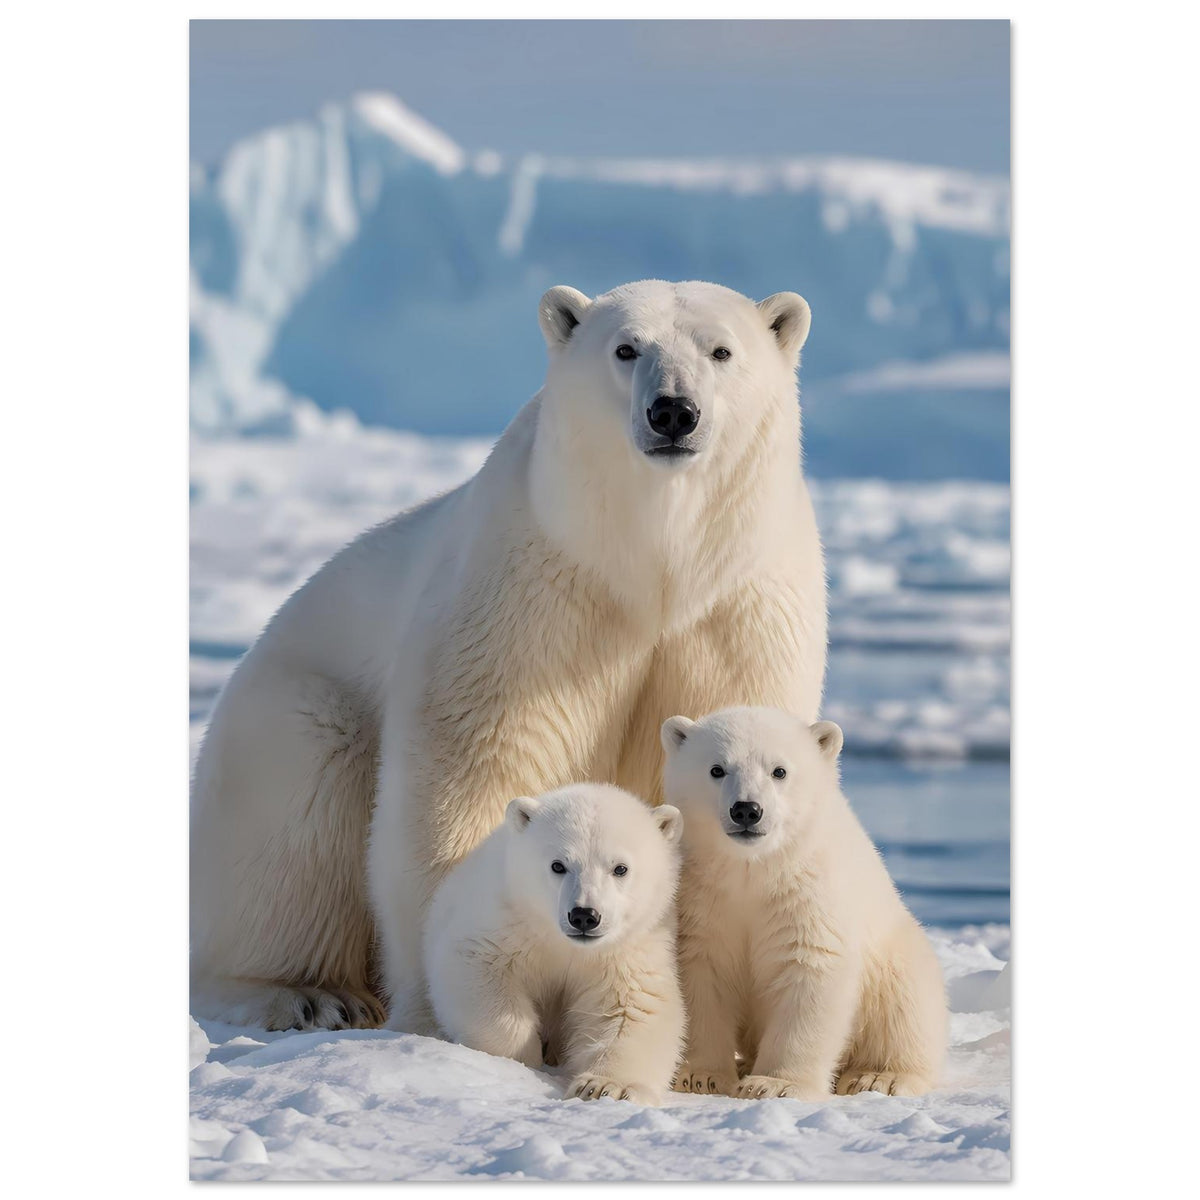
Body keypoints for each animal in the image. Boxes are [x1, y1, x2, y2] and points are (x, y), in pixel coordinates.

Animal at [190, 279, 828, 1033]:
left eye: (721, 349)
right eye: (626, 348)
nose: (673, 411)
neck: (652, 565)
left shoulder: (737, 611)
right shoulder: (532, 596)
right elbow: (477, 765)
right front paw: (451, 1006)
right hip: (281, 719)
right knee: (298, 810)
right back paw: (308, 994)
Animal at [423, 782, 686, 1104]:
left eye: (620, 868)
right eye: (558, 865)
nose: (584, 916)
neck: (565, 945)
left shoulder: (627, 951)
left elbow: (633, 1008)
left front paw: (603, 1087)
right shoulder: (505, 922)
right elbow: (477, 968)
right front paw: (524, 1057)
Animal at [660, 707, 947, 1100]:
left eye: (779, 770)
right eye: (716, 769)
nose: (746, 810)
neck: (754, 870)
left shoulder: (810, 893)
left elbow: (810, 968)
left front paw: (776, 1084)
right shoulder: (701, 898)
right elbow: (702, 975)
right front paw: (701, 1076)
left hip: (897, 957)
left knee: (905, 1007)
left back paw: (879, 1076)